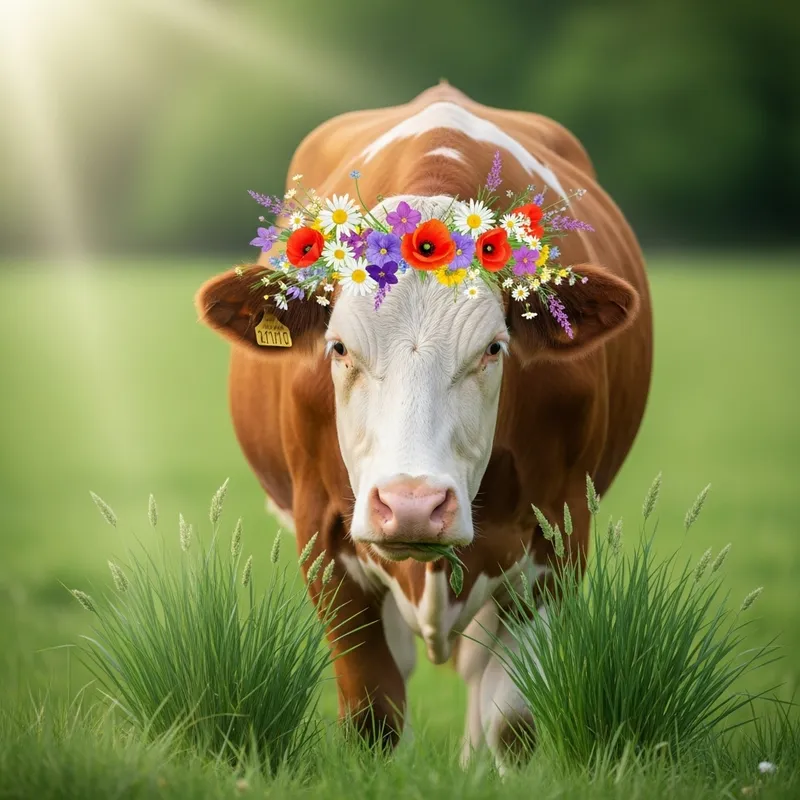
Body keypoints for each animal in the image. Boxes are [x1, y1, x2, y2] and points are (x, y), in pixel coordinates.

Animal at [195, 81, 652, 771]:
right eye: (338, 348)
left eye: (494, 348)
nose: (412, 505)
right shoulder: (320, 534)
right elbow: (373, 714)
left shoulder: (560, 533)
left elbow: (511, 720)